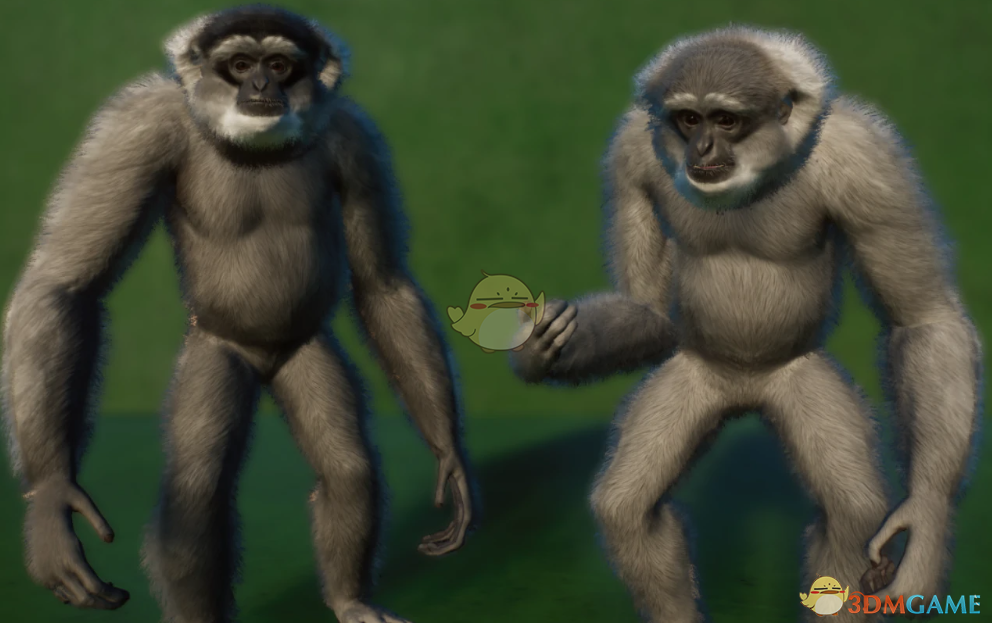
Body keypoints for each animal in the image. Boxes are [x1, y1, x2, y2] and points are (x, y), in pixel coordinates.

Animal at [0, 6, 476, 623]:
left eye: (279, 63)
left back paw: (348, 599)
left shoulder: (357, 139)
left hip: (305, 350)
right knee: (197, 492)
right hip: (216, 350)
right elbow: (64, 283)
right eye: (241, 64)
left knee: (347, 468)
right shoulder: (136, 126)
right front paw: (53, 500)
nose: (261, 86)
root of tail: (266, 359)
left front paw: (448, 451)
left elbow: (383, 284)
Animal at [510, 26, 983, 623]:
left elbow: (921, 317)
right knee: (627, 508)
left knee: (852, 511)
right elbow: (646, 309)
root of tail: (745, 393)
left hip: (798, 381)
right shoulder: (629, 154)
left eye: (726, 120)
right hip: (696, 380)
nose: (703, 149)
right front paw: (541, 347)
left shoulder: (869, 161)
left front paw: (923, 519)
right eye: (689, 119)